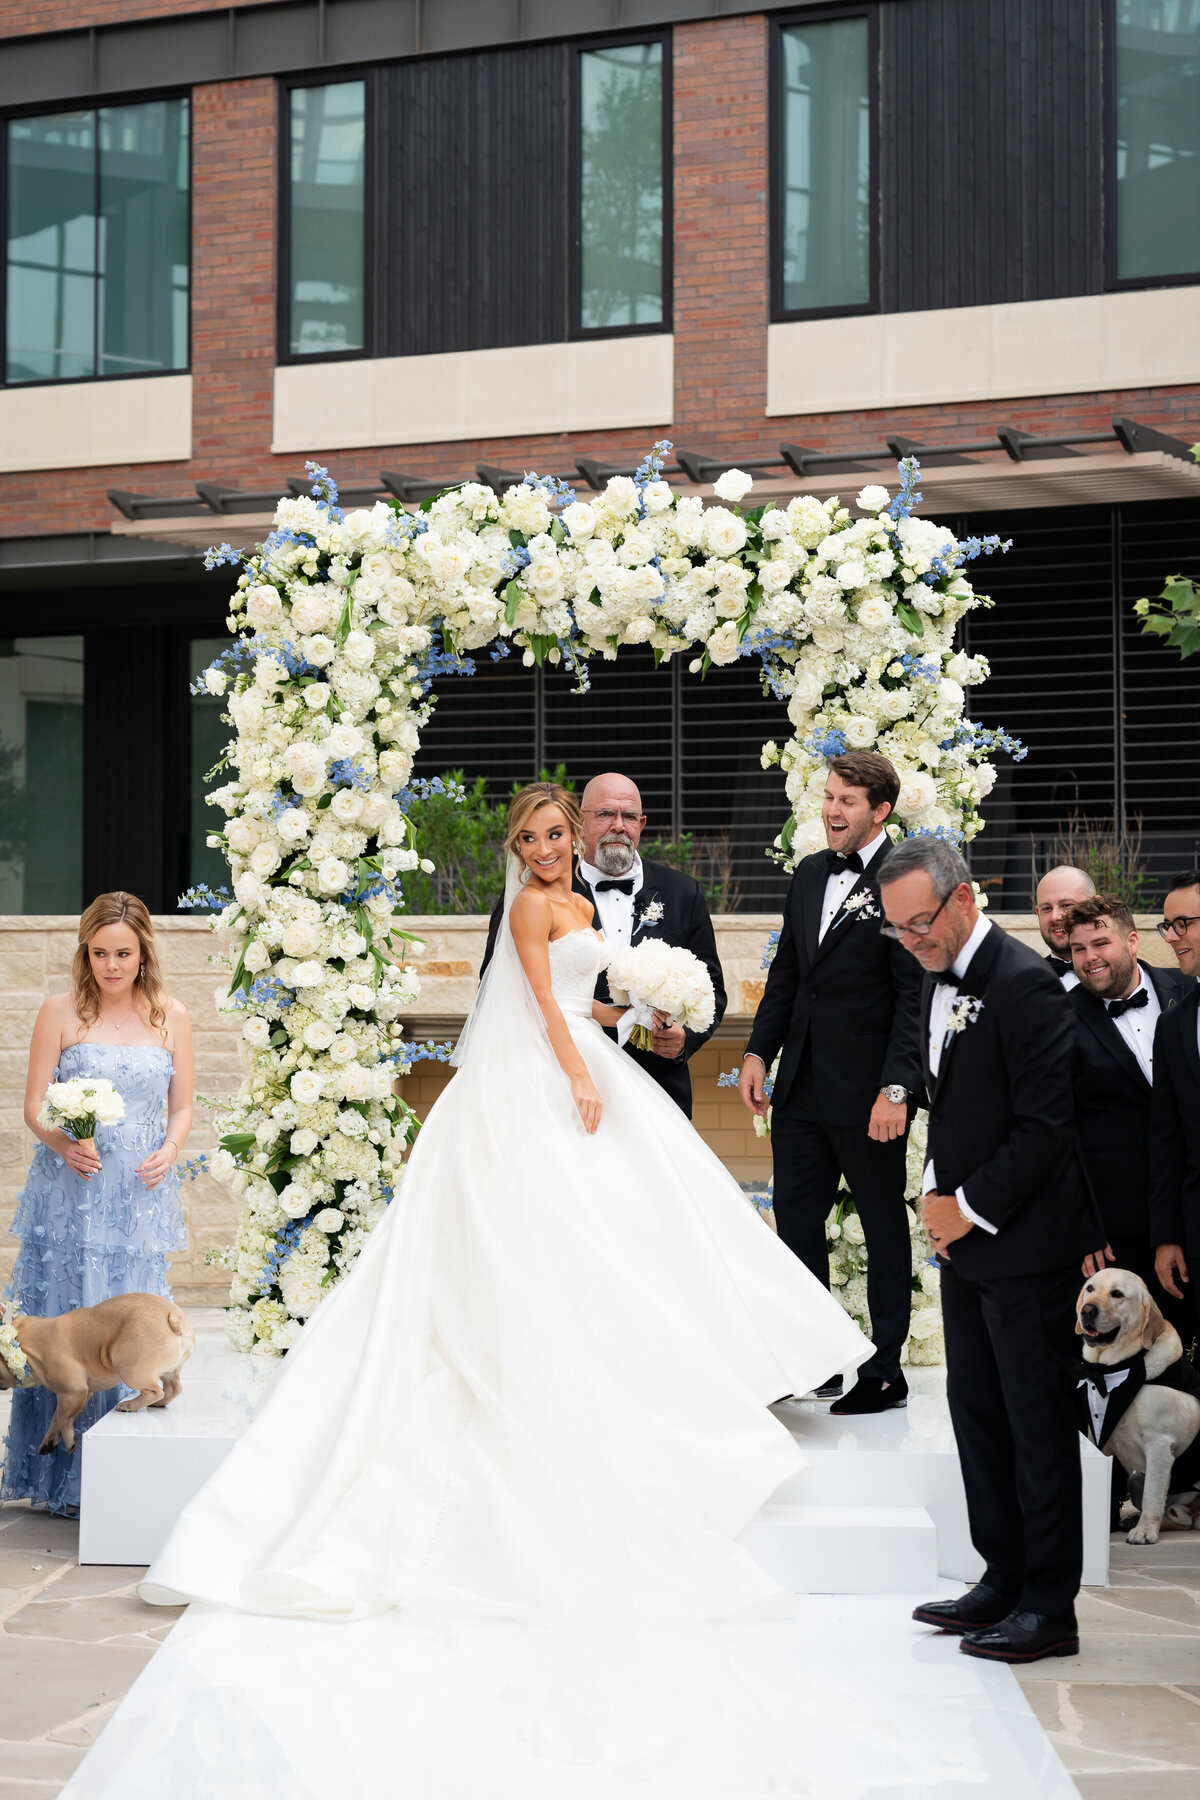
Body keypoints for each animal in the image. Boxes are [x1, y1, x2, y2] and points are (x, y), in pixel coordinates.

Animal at [0, 1288, 192, 1454]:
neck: (25, 1340)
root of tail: (174, 1318)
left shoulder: (73, 1391)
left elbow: (63, 1417)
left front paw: (69, 1441)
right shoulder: (77, 1394)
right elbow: (57, 1417)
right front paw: (49, 1441)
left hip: (128, 1366)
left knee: (155, 1391)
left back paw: (129, 1405)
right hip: (169, 1371)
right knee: (174, 1388)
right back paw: (159, 1403)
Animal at [1079, 1267, 1200, 1548]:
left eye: (1117, 1294)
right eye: (1090, 1288)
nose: (1087, 1310)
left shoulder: (1160, 1445)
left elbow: (1152, 1496)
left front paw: (1145, 1531)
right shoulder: (1099, 1440)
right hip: (1136, 1478)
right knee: (1179, 1516)